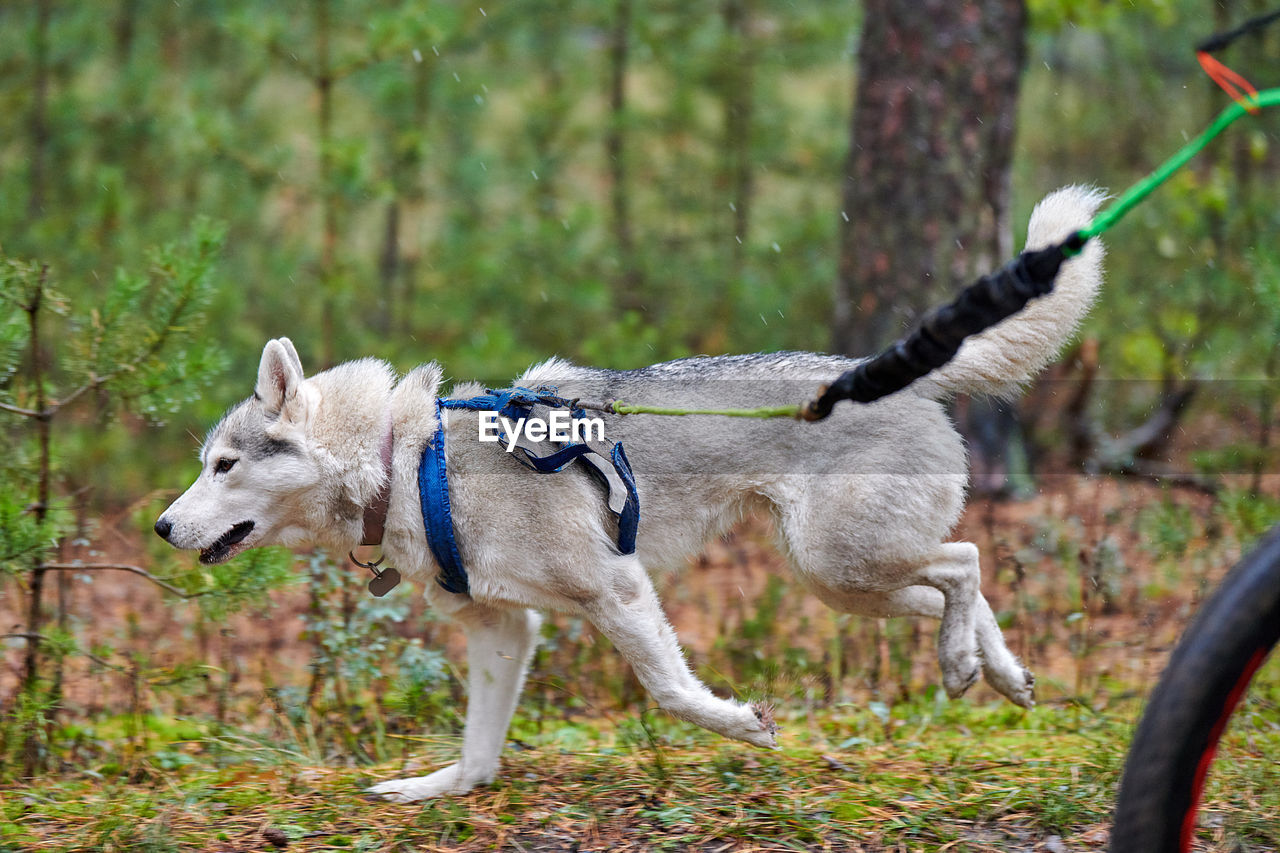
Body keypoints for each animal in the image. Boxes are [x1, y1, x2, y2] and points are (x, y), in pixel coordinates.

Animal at [157, 184, 1100, 799]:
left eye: (225, 466)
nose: (163, 526)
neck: (410, 460)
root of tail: (880, 372)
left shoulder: (618, 590)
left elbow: (673, 692)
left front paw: (743, 724)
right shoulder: (506, 628)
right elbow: (478, 754)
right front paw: (433, 788)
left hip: (841, 561)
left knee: (965, 560)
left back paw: (963, 662)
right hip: (843, 580)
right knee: (956, 586)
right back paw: (998, 672)